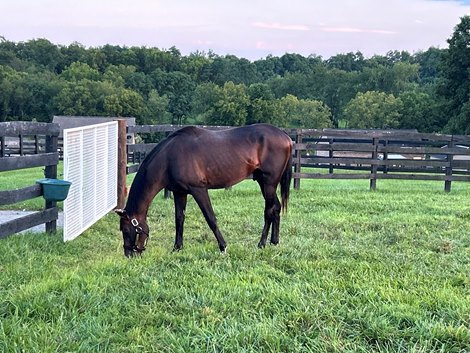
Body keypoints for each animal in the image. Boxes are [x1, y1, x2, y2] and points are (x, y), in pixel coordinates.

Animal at [114, 123, 290, 256]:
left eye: (126, 230)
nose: (129, 254)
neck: (169, 158)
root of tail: (285, 136)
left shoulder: (199, 190)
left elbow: (210, 218)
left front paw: (223, 246)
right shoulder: (179, 192)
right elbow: (179, 219)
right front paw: (177, 248)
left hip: (269, 183)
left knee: (269, 211)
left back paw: (261, 244)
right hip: (264, 182)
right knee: (276, 207)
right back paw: (274, 241)